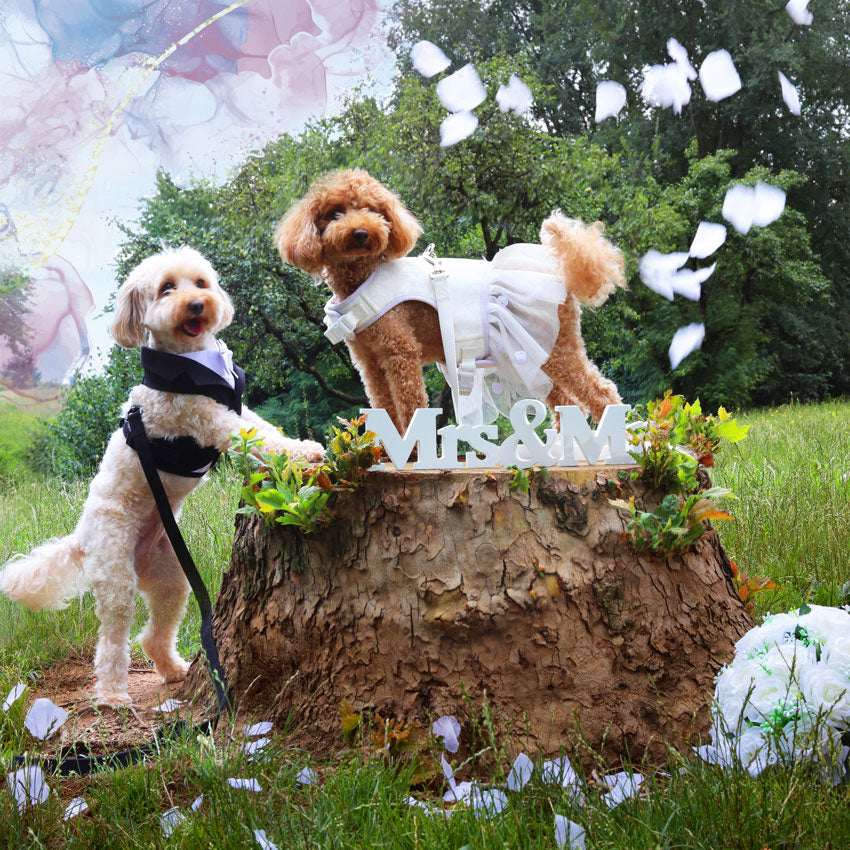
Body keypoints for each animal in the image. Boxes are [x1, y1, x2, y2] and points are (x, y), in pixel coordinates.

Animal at [0, 248, 322, 704]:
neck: (194, 363)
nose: (197, 305)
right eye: (167, 288)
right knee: (112, 640)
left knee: (153, 635)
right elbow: (257, 438)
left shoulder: (237, 409)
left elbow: (265, 430)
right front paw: (303, 454)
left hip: (171, 578)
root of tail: (81, 537)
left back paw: (173, 671)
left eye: (201, 283)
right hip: (116, 578)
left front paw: (297, 451)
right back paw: (113, 695)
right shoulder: (208, 418)